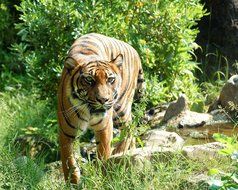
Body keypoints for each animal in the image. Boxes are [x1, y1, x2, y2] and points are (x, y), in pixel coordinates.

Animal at [56, 33, 144, 184]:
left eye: (110, 80)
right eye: (89, 80)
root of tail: (133, 49)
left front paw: (103, 177)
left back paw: (120, 153)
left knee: (128, 128)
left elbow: (103, 154)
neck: (88, 111)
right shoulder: (67, 133)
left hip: (121, 108)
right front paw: (72, 183)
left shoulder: (104, 127)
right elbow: (69, 161)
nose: (103, 100)